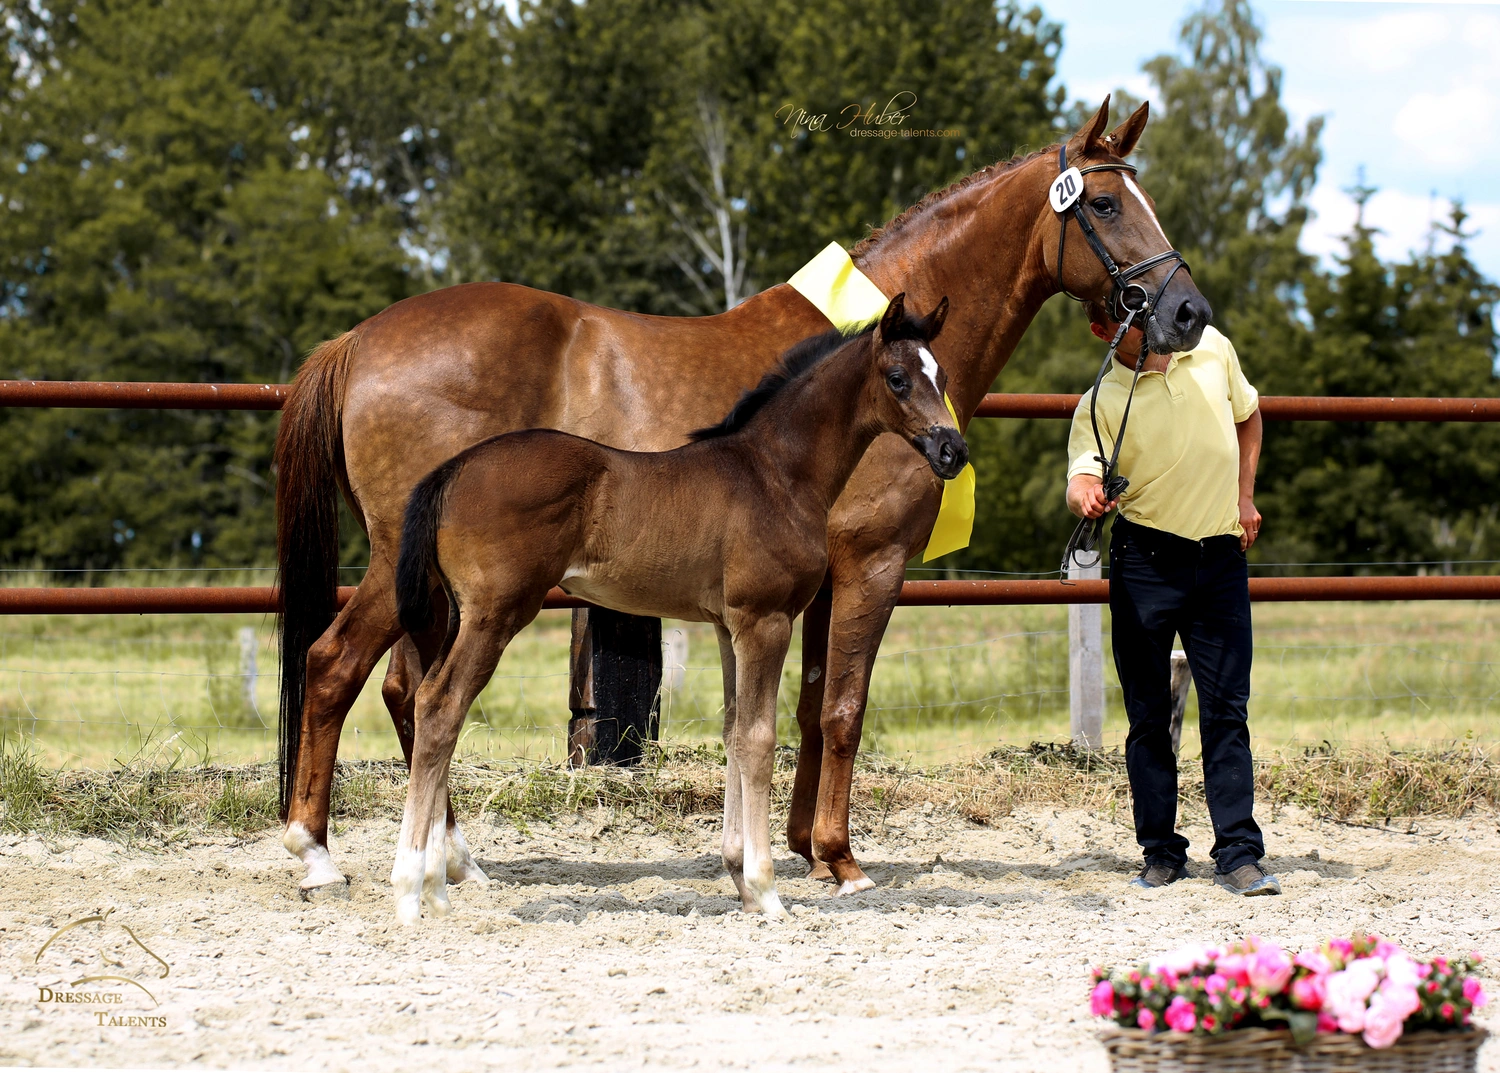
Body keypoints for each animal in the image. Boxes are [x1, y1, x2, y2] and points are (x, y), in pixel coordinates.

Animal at [388, 295, 963, 923]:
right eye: (898, 378)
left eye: (943, 376)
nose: (952, 451)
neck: (776, 474)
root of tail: (452, 470)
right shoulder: (765, 621)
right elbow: (759, 740)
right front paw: (765, 890)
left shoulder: (729, 627)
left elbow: (734, 731)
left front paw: (739, 877)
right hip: (495, 615)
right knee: (441, 709)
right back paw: (411, 890)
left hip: (458, 616)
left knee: (426, 702)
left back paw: (437, 887)